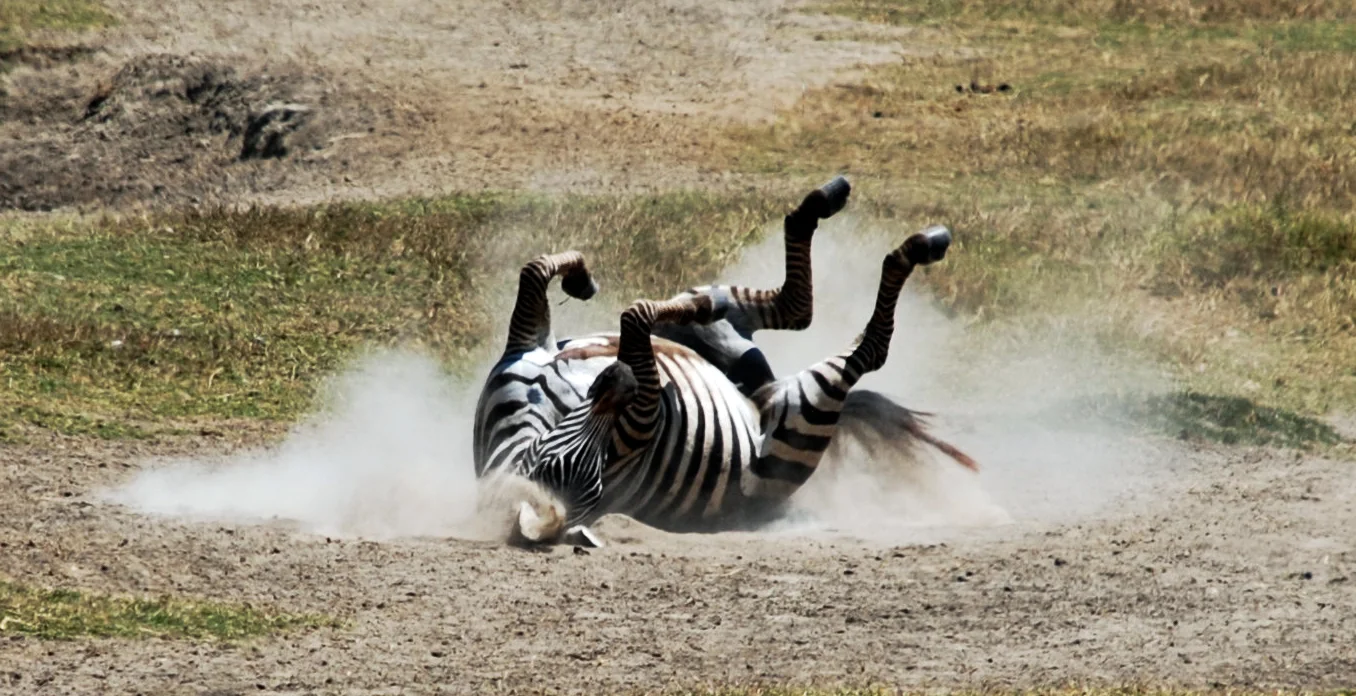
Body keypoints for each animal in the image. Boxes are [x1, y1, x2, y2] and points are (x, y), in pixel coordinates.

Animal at [471, 176, 976, 546]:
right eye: (563, 471)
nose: (619, 380)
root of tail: (758, 396)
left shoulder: (523, 348)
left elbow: (537, 270)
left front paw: (580, 277)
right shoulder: (645, 410)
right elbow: (633, 315)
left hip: (733, 336)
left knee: (786, 306)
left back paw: (821, 205)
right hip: (800, 413)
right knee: (863, 343)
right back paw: (918, 245)